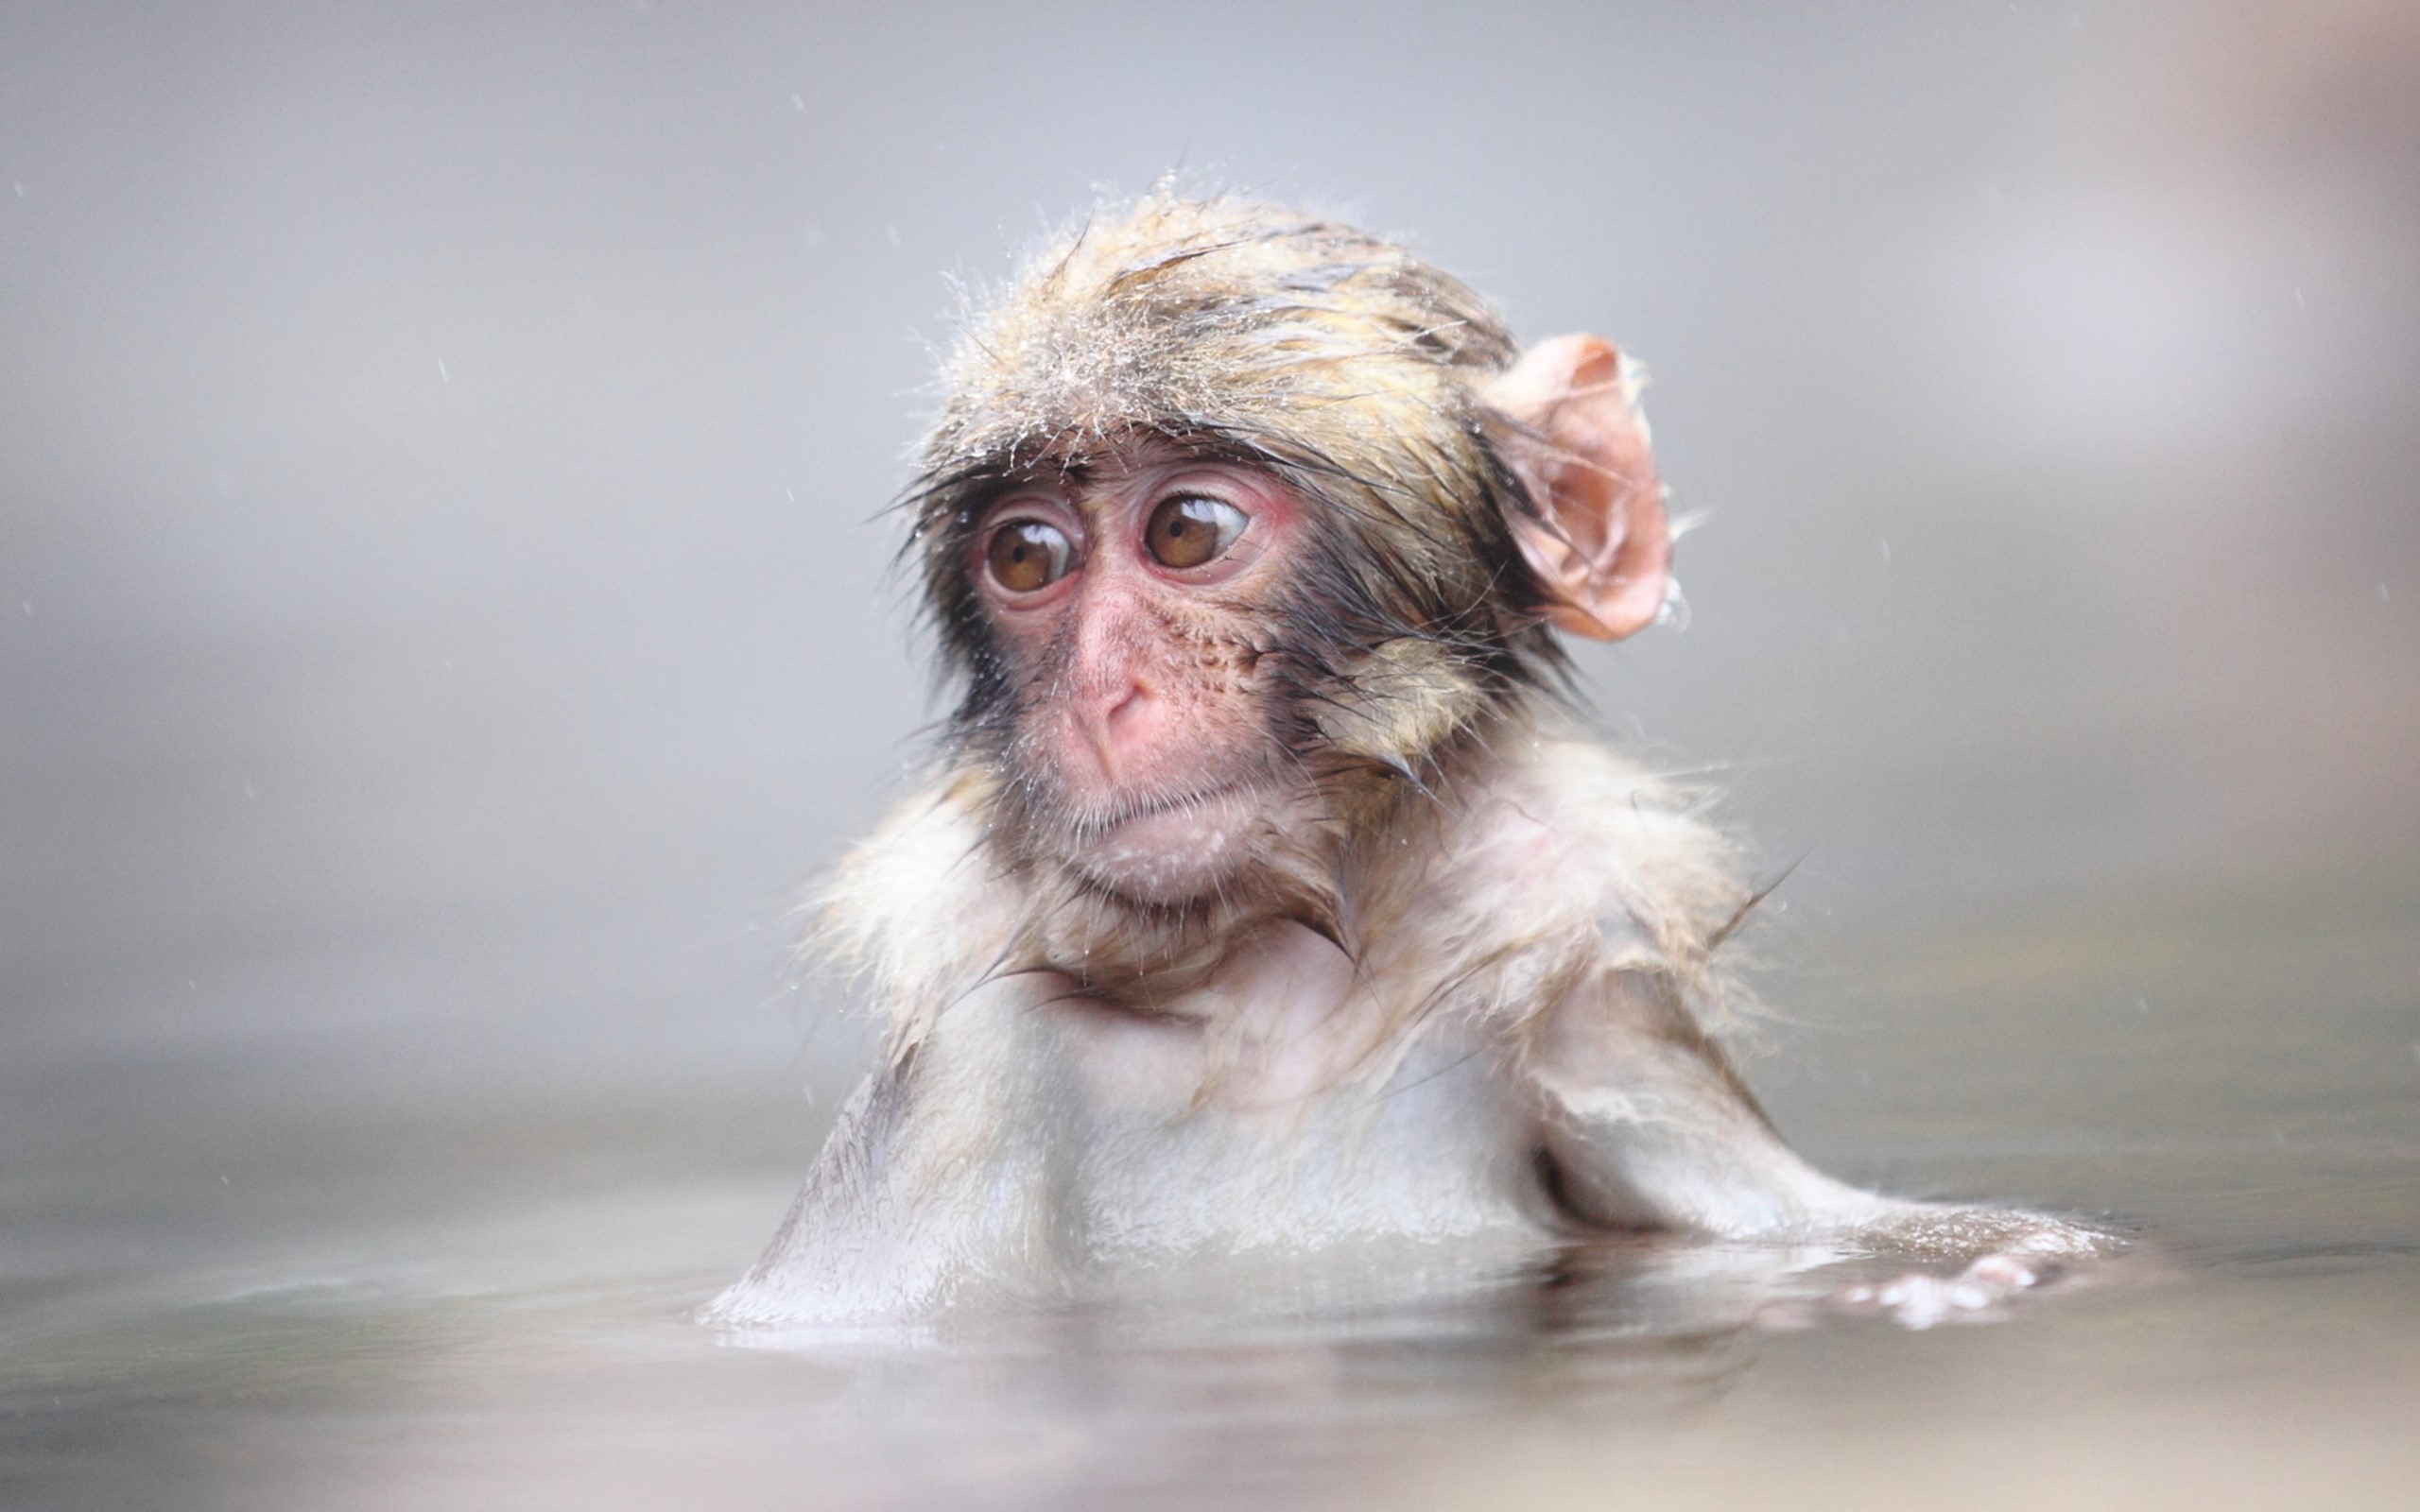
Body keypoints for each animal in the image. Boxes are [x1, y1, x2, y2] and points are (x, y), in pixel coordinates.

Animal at [709, 192, 2113, 1330]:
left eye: (1187, 529)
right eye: (1027, 555)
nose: (1104, 694)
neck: (1279, 1016)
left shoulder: (1602, 1029)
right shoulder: (968, 1072)